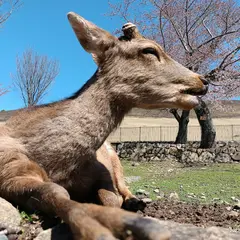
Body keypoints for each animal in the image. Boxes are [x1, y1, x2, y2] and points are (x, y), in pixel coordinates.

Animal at [0, 11, 208, 240]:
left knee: (124, 186)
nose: (203, 80)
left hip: (116, 159)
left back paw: (135, 202)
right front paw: (97, 225)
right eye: (149, 50)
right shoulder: (9, 170)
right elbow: (56, 192)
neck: (60, 165)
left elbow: (111, 197)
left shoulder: (104, 171)